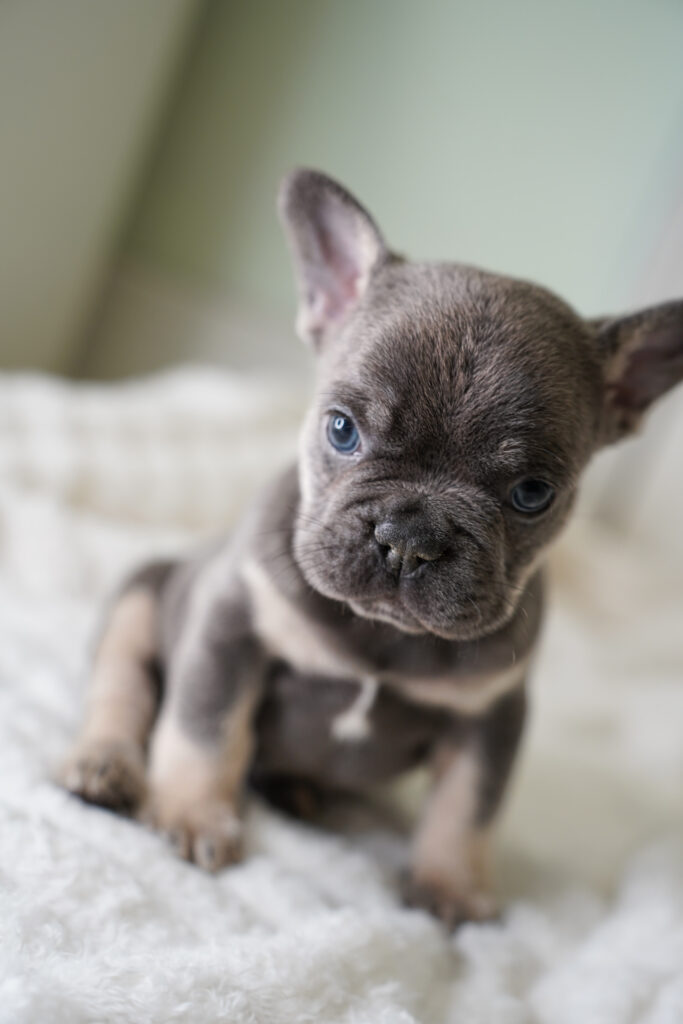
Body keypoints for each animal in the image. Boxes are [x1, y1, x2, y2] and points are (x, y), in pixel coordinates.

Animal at [61, 170, 683, 927]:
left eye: (533, 493)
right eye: (341, 429)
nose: (410, 539)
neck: (380, 635)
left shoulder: (491, 716)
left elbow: (468, 806)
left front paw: (449, 884)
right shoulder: (232, 630)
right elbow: (205, 728)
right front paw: (192, 813)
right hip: (139, 601)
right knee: (121, 690)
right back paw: (106, 768)